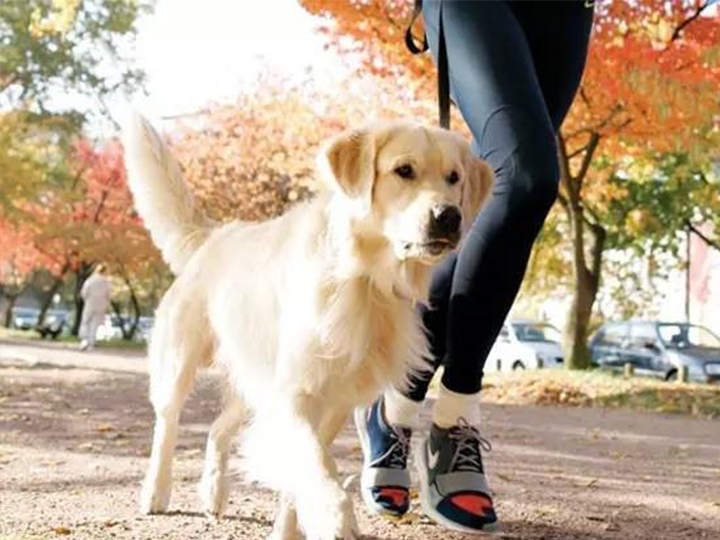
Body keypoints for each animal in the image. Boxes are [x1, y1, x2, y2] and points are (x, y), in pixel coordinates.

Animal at [124, 113, 492, 540]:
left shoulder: (333, 399)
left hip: (254, 379)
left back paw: (214, 491)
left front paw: (289, 528)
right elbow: (314, 464)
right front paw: (334, 515)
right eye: (404, 170)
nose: (449, 216)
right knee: (166, 424)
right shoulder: (295, 394)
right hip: (181, 364)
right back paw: (156, 490)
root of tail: (214, 236)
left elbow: (303, 470)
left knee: (217, 429)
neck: (364, 280)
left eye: (454, 177)